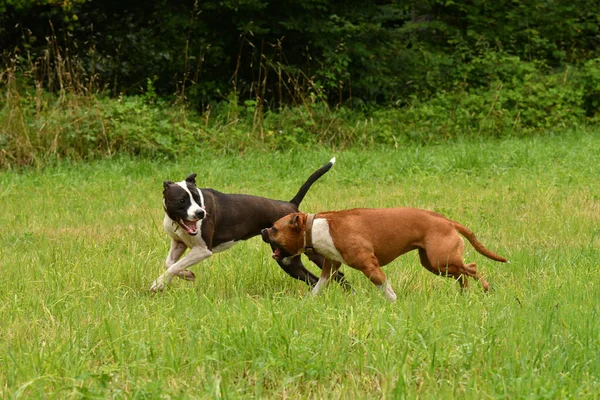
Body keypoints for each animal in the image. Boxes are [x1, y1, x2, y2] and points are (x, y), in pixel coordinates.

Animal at [150, 158, 346, 292]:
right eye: (182, 200)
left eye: (198, 198)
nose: (200, 213)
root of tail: (291, 205)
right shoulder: (179, 243)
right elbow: (170, 263)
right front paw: (187, 274)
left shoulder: (202, 250)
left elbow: (174, 266)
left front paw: (159, 284)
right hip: (287, 260)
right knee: (312, 278)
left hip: (309, 252)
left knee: (337, 273)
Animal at [260, 209, 508, 300]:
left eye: (274, 228)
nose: (262, 230)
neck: (314, 228)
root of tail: (447, 220)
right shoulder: (330, 266)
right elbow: (319, 286)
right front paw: (309, 302)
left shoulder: (369, 265)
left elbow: (385, 287)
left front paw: (394, 303)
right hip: (435, 264)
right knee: (462, 275)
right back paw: (464, 295)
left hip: (441, 259)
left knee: (471, 268)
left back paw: (485, 288)